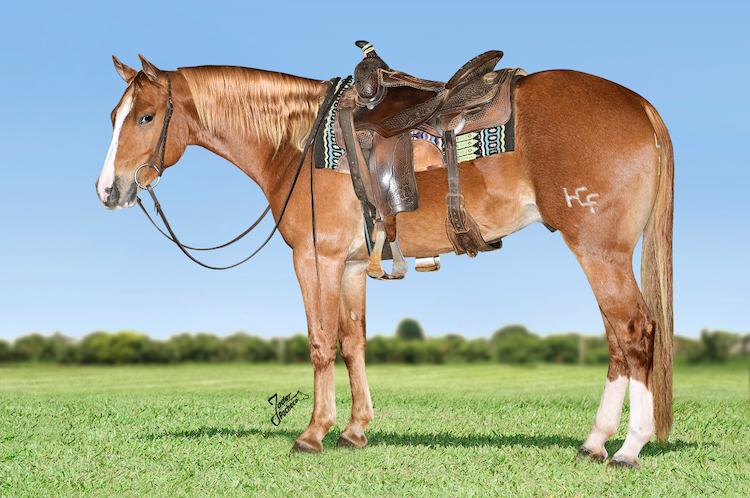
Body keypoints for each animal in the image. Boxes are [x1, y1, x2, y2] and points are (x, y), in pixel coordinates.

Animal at [95, 55, 676, 470]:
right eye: (114, 116)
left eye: (146, 117)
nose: (108, 191)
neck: (299, 144)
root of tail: (641, 107)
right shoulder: (353, 265)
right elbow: (353, 342)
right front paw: (355, 430)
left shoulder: (316, 258)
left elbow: (321, 343)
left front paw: (313, 433)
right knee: (618, 339)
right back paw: (595, 442)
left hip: (599, 250)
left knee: (635, 331)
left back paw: (628, 448)